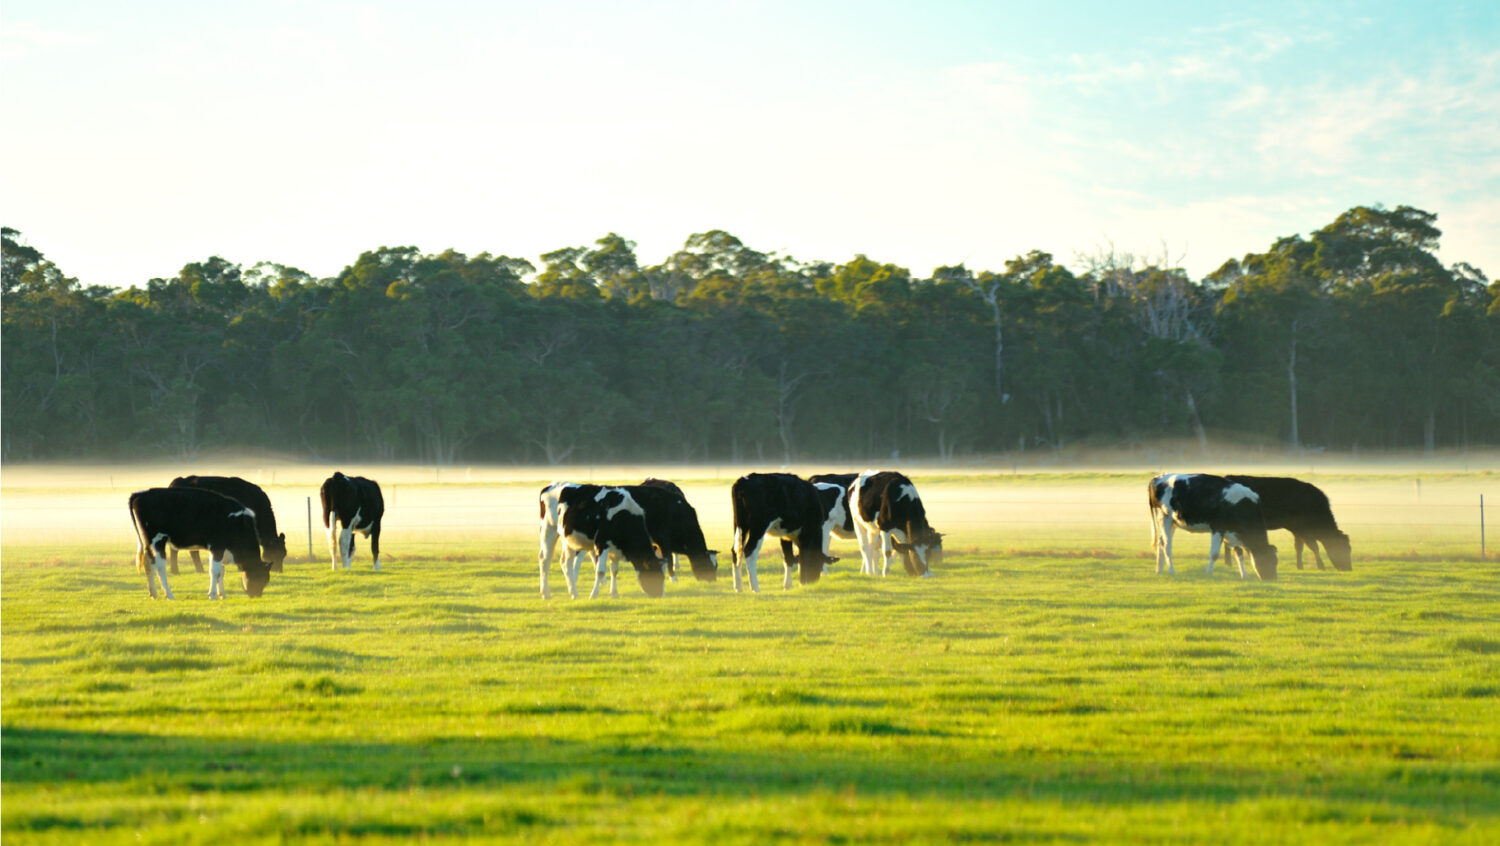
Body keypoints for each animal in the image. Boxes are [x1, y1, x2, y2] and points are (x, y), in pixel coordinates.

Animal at [128, 486, 273, 597]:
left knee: (148, 564)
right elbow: (214, 571)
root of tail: (141, 493)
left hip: (147, 542)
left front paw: (222, 594)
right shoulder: (217, 546)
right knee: (159, 566)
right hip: (157, 540)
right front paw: (212, 595)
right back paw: (169, 595)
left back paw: (153, 594)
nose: (256, 595)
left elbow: (221, 571)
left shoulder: (219, 549)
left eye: (266, 580)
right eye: (258, 577)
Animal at [534, 486, 663, 597]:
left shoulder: (615, 546)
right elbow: (600, 571)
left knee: (566, 562)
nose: (660, 595)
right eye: (655, 575)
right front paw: (593, 595)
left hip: (568, 540)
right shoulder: (602, 543)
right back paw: (546, 593)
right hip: (548, 530)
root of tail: (550, 486)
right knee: (545, 559)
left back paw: (573, 593)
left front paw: (614, 594)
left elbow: (614, 570)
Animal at [1146, 474, 1278, 579]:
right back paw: (1172, 571)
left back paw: (1159, 570)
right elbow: (1214, 554)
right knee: (1167, 545)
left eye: (1275, 562)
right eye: (1270, 561)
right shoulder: (1218, 528)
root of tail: (1158, 478)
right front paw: (1208, 573)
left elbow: (1239, 552)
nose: (1272, 579)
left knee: (1160, 542)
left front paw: (1244, 575)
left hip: (1173, 522)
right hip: (1164, 517)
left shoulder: (1232, 532)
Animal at [1224, 474, 1356, 573]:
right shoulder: (1302, 529)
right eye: (1343, 548)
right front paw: (1321, 566)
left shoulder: (1297, 530)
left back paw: (1228, 564)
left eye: (1350, 549)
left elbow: (1299, 547)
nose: (1348, 569)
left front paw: (1300, 566)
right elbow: (1314, 546)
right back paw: (1228, 563)